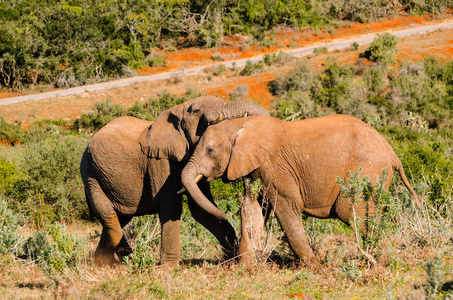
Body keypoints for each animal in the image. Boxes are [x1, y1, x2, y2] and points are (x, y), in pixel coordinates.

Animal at [80, 95, 268, 264]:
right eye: (196, 110)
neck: (175, 112)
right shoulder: (159, 162)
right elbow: (171, 205)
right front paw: (168, 268)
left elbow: (201, 208)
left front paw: (231, 259)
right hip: (90, 173)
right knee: (108, 214)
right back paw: (126, 255)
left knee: (119, 218)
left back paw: (102, 264)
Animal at [180, 113, 420, 266]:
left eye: (210, 151)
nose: (222, 214)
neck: (241, 124)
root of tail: (392, 154)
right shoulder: (254, 167)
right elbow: (253, 207)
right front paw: (243, 269)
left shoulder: (275, 167)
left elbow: (286, 208)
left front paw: (314, 267)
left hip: (367, 170)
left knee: (352, 211)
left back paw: (385, 262)